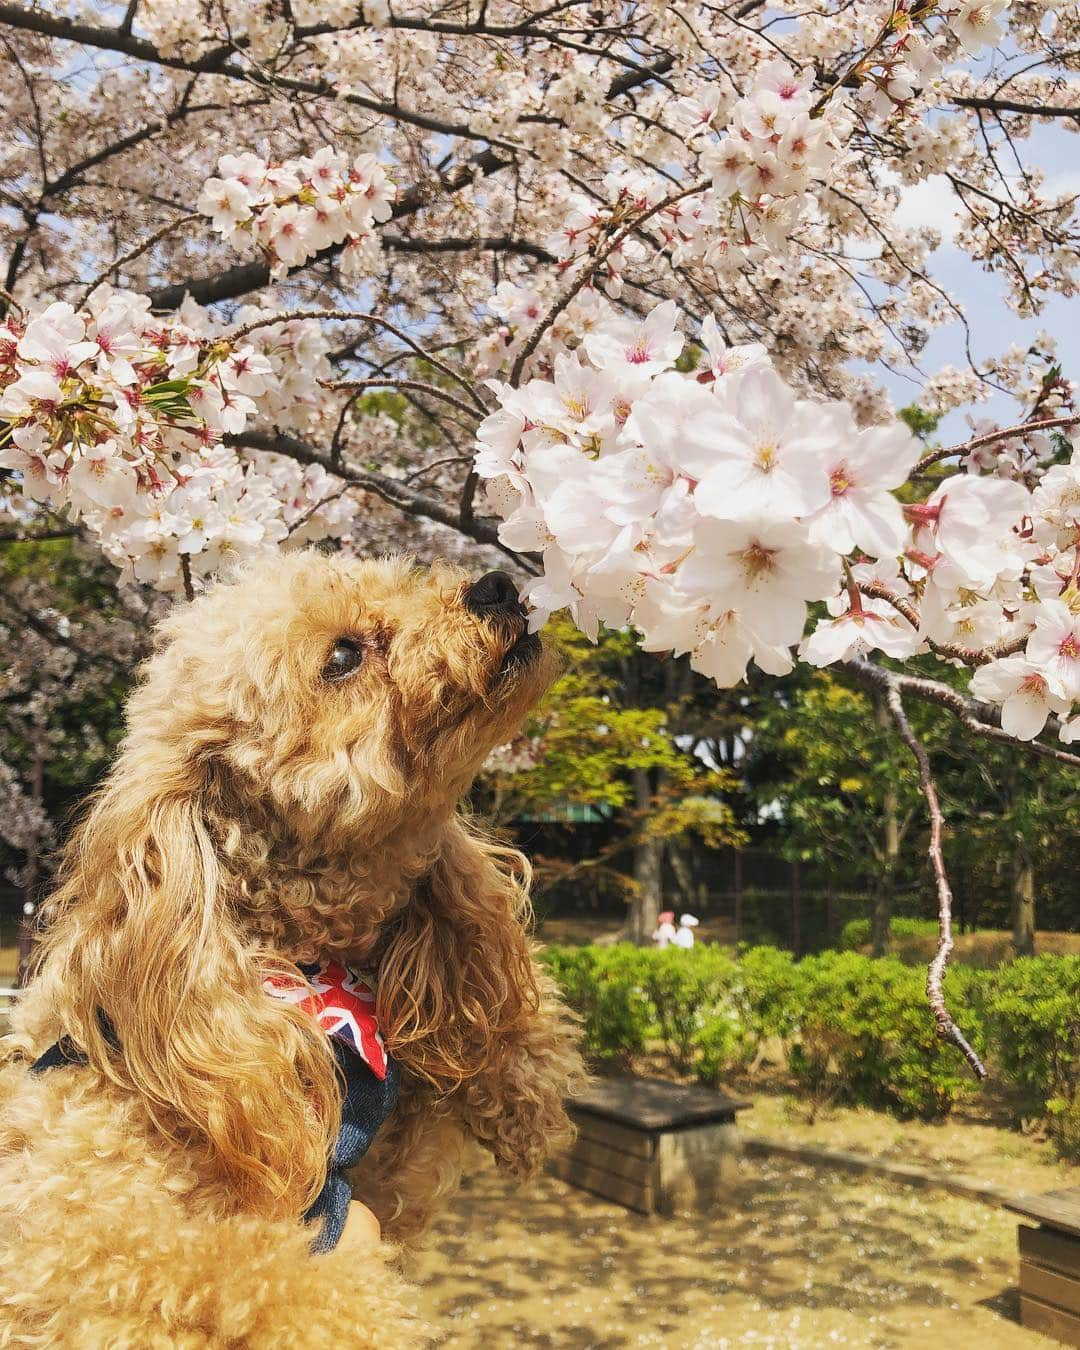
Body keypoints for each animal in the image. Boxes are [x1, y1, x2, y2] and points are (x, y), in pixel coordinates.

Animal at [0, 553, 585, 1344]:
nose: (494, 585)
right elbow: (276, 1290)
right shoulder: (98, 1233)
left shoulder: (382, 1170)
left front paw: (515, 1080)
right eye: (341, 657)